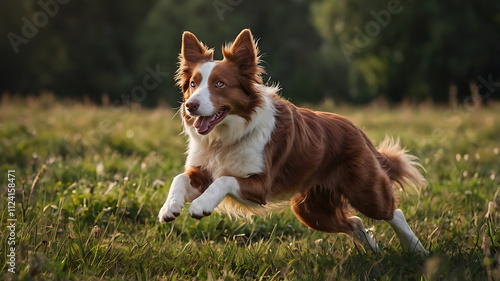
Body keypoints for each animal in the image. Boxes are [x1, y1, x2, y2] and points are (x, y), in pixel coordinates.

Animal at [158, 29, 428, 254]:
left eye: (220, 84)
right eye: (193, 84)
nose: (190, 105)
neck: (225, 138)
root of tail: (357, 129)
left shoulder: (260, 185)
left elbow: (224, 180)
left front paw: (200, 205)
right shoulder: (202, 172)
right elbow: (179, 178)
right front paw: (169, 207)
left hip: (363, 191)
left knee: (393, 212)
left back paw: (416, 251)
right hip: (311, 210)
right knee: (355, 222)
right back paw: (373, 251)